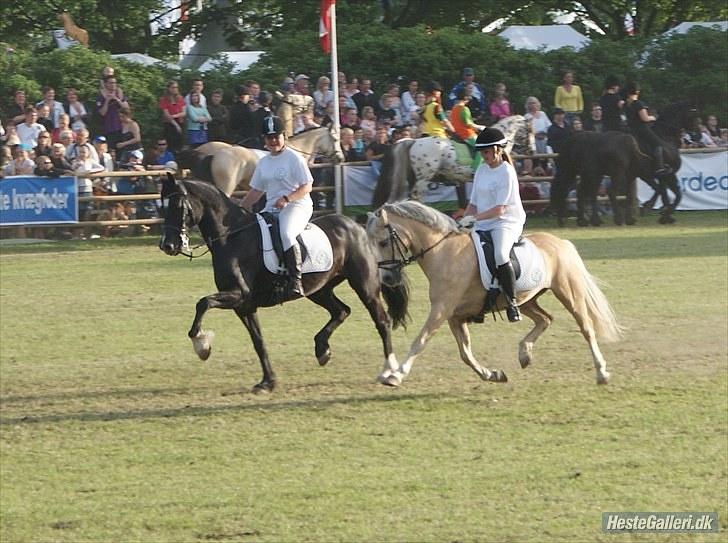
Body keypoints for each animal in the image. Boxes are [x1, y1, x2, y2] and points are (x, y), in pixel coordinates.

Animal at [160, 176, 410, 394]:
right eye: (163, 206)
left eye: (178, 206)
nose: (167, 245)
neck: (232, 238)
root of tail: (355, 227)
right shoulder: (244, 306)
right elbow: (258, 342)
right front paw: (267, 382)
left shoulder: (238, 295)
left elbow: (203, 303)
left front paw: (202, 346)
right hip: (319, 290)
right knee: (342, 311)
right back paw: (322, 350)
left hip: (364, 286)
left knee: (381, 321)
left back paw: (389, 372)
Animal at [366, 203, 624, 386]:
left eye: (383, 242)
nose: (387, 279)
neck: (443, 252)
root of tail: (560, 242)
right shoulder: (454, 316)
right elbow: (465, 352)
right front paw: (493, 374)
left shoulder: (441, 310)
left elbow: (420, 341)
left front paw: (396, 375)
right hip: (526, 299)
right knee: (545, 319)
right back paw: (524, 354)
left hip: (568, 292)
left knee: (586, 328)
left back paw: (602, 372)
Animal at [552, 101, 692, 225]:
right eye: (693, 112)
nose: (690, 136)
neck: (665, 138)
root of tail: (577, 138)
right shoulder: (662, 174)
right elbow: (667, 192)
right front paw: (654, 209)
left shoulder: (648, 175)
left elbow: (663, 193)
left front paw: (664, 215)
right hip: (606, 173)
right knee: (604, 192)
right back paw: (610, 219)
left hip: (591, 173)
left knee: (582, 192)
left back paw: (583, 220)